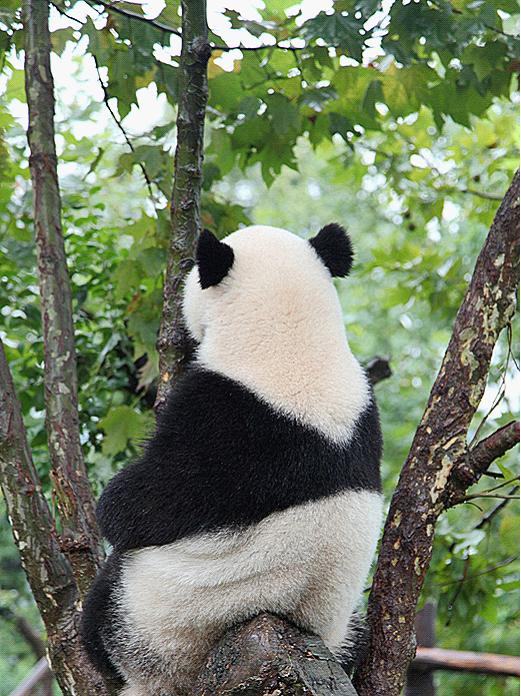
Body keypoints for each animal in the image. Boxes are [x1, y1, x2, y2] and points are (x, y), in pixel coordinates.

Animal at [80, 223, 383, 696]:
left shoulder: (224, 421)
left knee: (103, 610)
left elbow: (138, 508)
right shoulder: (364, 406)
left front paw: (115, 500)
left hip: (159, 618)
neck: (290, 336)